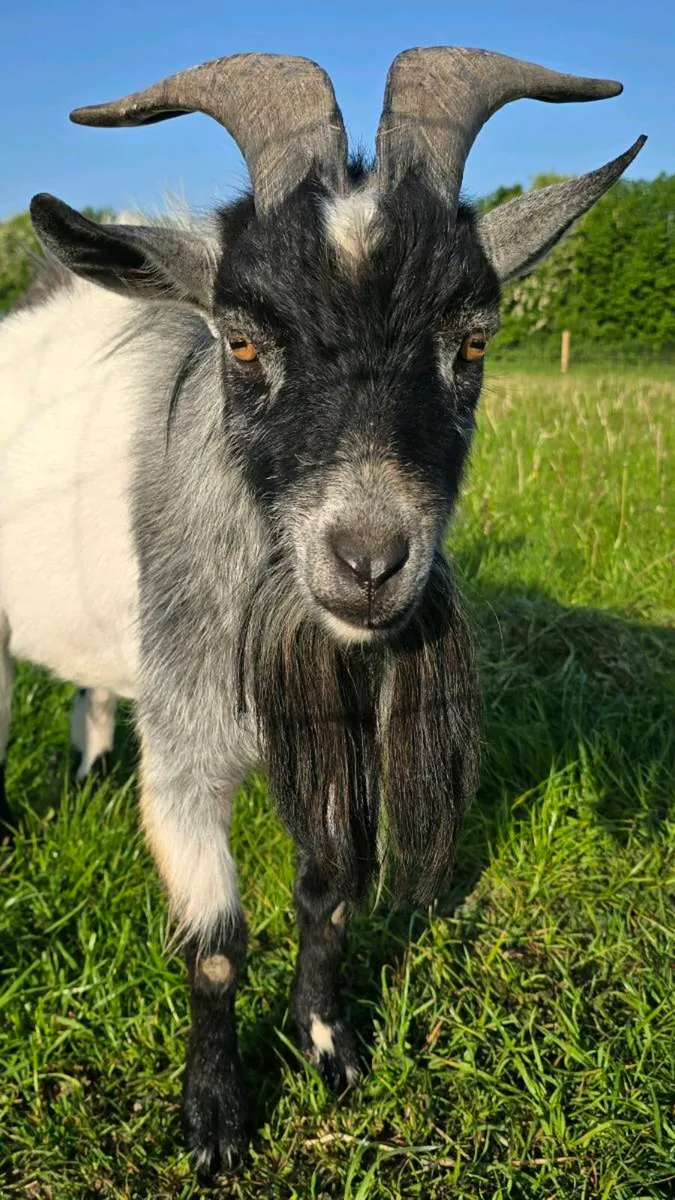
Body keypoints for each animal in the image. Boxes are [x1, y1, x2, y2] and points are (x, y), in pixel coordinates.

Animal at [0, 48, 644, 1177]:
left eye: (472, 344)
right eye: (244, 344)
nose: (369, 559)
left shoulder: (343, 741)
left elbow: (330, 893)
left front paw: (328, 1044)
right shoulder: (187, 757)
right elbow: (217, 947)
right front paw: (215, 1123)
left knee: (89, 692)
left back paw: (82, 777)